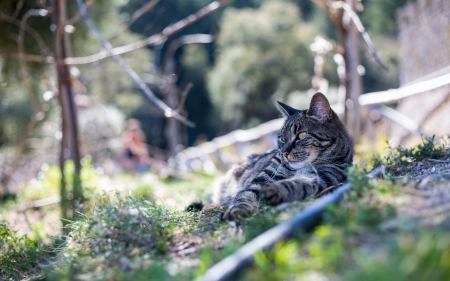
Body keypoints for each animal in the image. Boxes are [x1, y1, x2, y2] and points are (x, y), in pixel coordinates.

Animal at [211, 92, 356, 219]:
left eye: (301, 135)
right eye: (282, 139)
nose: (285, 153)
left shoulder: (321, 178)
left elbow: (296, 184)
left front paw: (276, 190)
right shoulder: (264, 177)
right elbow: (246, 195)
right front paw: (236, 210)